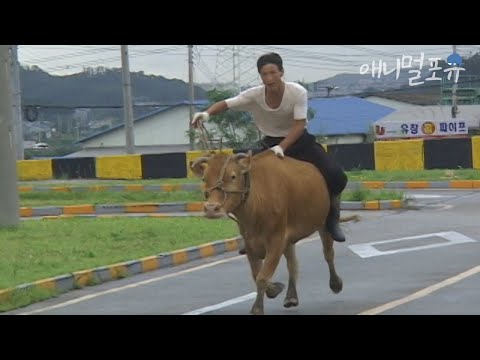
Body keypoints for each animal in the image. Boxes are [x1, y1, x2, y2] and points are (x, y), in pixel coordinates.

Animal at [191, 149, 344, 316]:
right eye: (205, 178)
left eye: (233, 176)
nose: (211, 209)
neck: (256, 204)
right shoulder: (250, 242)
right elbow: (257, 274)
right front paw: (275, 289)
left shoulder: (276, 240)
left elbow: (262, 277)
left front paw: (257, 309)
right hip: (288, 238)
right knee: (292, 263)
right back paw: (291, 297)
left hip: (323, 224)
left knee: (328, 254)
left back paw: (336, 284)